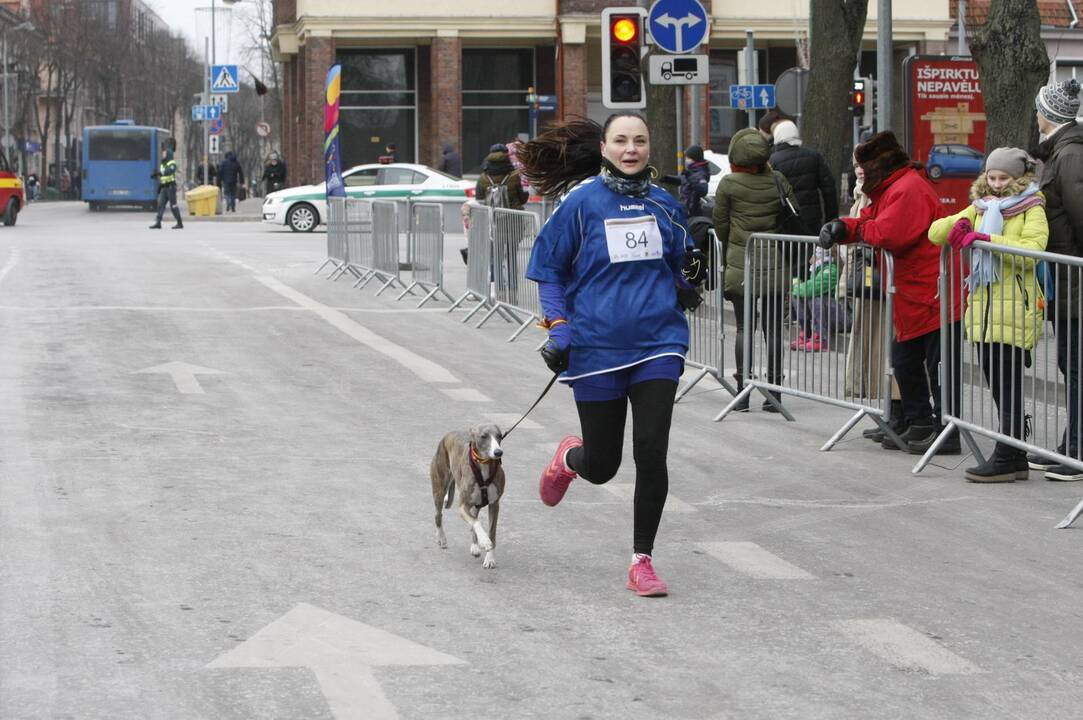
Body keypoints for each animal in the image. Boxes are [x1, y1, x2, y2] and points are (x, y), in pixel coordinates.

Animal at [428, 422, 504, 567]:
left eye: (500, 436)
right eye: (484, 436)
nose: (498, 452)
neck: (483, 466)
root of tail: (447, 435)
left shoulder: (494, 505)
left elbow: (491, 532)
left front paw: (490, 558)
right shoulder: (463, 506)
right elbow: (476, 522)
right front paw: (485, 541)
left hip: (476, 503)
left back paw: (474, 546)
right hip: (439, 490)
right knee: (438, 515)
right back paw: (441, 538)